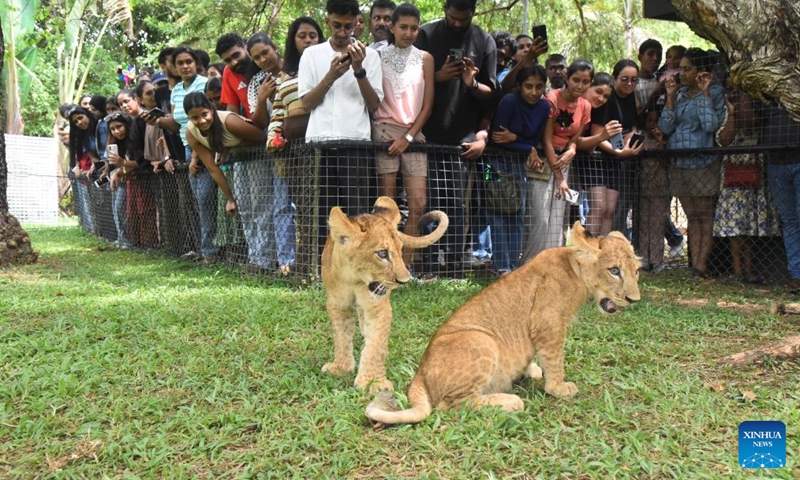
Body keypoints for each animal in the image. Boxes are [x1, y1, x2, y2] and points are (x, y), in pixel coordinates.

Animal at [321, 196, 449, 393]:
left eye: (400, 250)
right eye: (382, 253)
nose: (404, 280)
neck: (354, 279)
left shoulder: (378, 307)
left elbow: (376, 344)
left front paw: (373, 382)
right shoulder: (337, 304)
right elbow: (341, 336)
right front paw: (341, 367)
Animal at [365, 222, 641, 426]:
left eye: (636, 271)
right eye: (614, 271)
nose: (634, 300)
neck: (576, 270)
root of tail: (419, 374)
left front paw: (530, 370)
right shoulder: (548, 323)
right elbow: (555, 360)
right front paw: (558, 387)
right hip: (482, 340)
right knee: (450, 405)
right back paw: (511, 401)